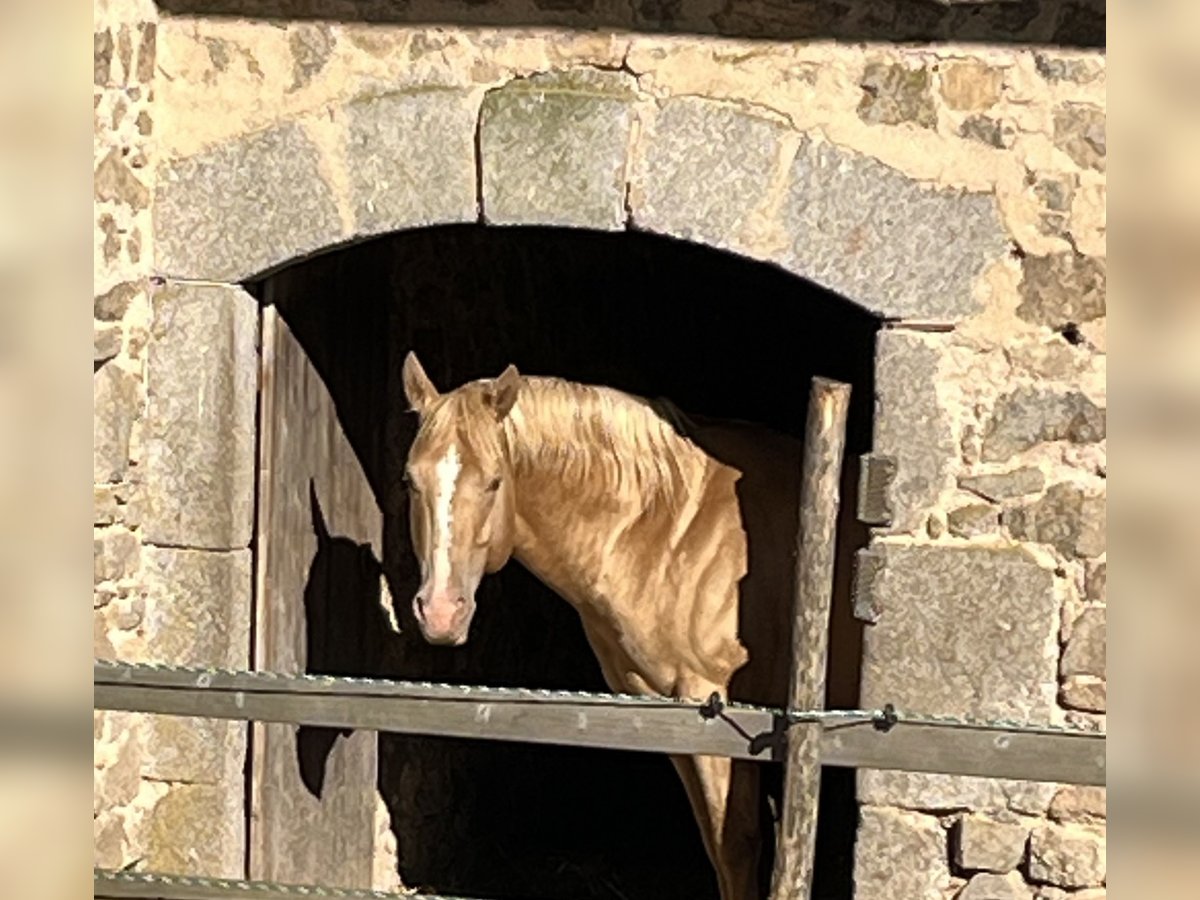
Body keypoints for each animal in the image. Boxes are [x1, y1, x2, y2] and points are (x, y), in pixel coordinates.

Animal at [398, 352, 830, 900]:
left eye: (494, 481)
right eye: (410, 481)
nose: (439, 612)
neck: (672, 534)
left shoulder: (723, 714)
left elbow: (735, 846)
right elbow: (716, 847)